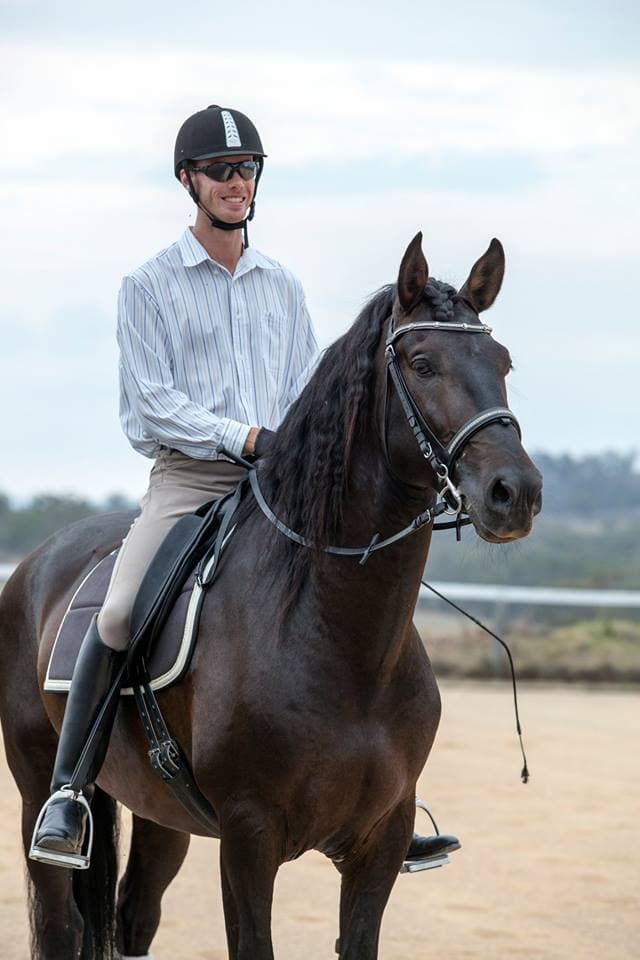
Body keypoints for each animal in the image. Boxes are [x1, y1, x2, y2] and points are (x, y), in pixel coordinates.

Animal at [0, 232, 542, 960]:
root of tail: (41, 560)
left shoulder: (382, 838)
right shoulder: (248, 838)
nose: (516, 493)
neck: (343, 642)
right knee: (61, 921)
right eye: (423, 363)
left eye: (502, 362)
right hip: (37, 786)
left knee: (133, 916)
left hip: (160, 813)